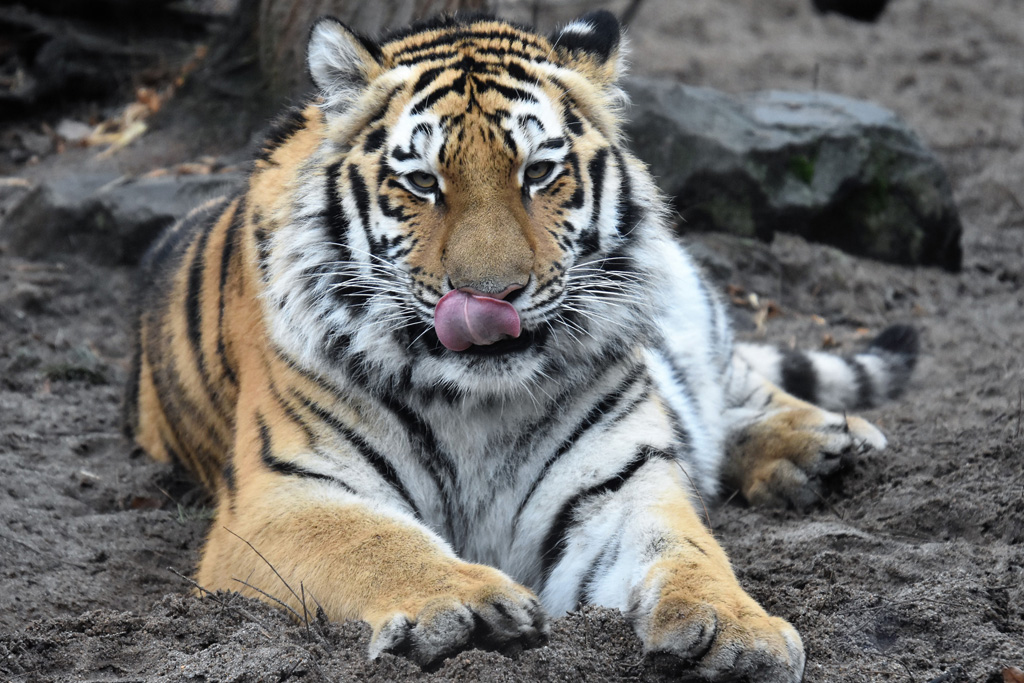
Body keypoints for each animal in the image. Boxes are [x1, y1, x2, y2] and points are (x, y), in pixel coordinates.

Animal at [123, 12, 917, 683]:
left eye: (538, 171)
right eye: (423, 182)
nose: (490, 297)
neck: (474, 399)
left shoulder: (620, 482)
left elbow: (688, 552)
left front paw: (737, 632)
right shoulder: (284, 494)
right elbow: (375, 543)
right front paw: (464, 606)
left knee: (733, 386)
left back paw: (829, 440)